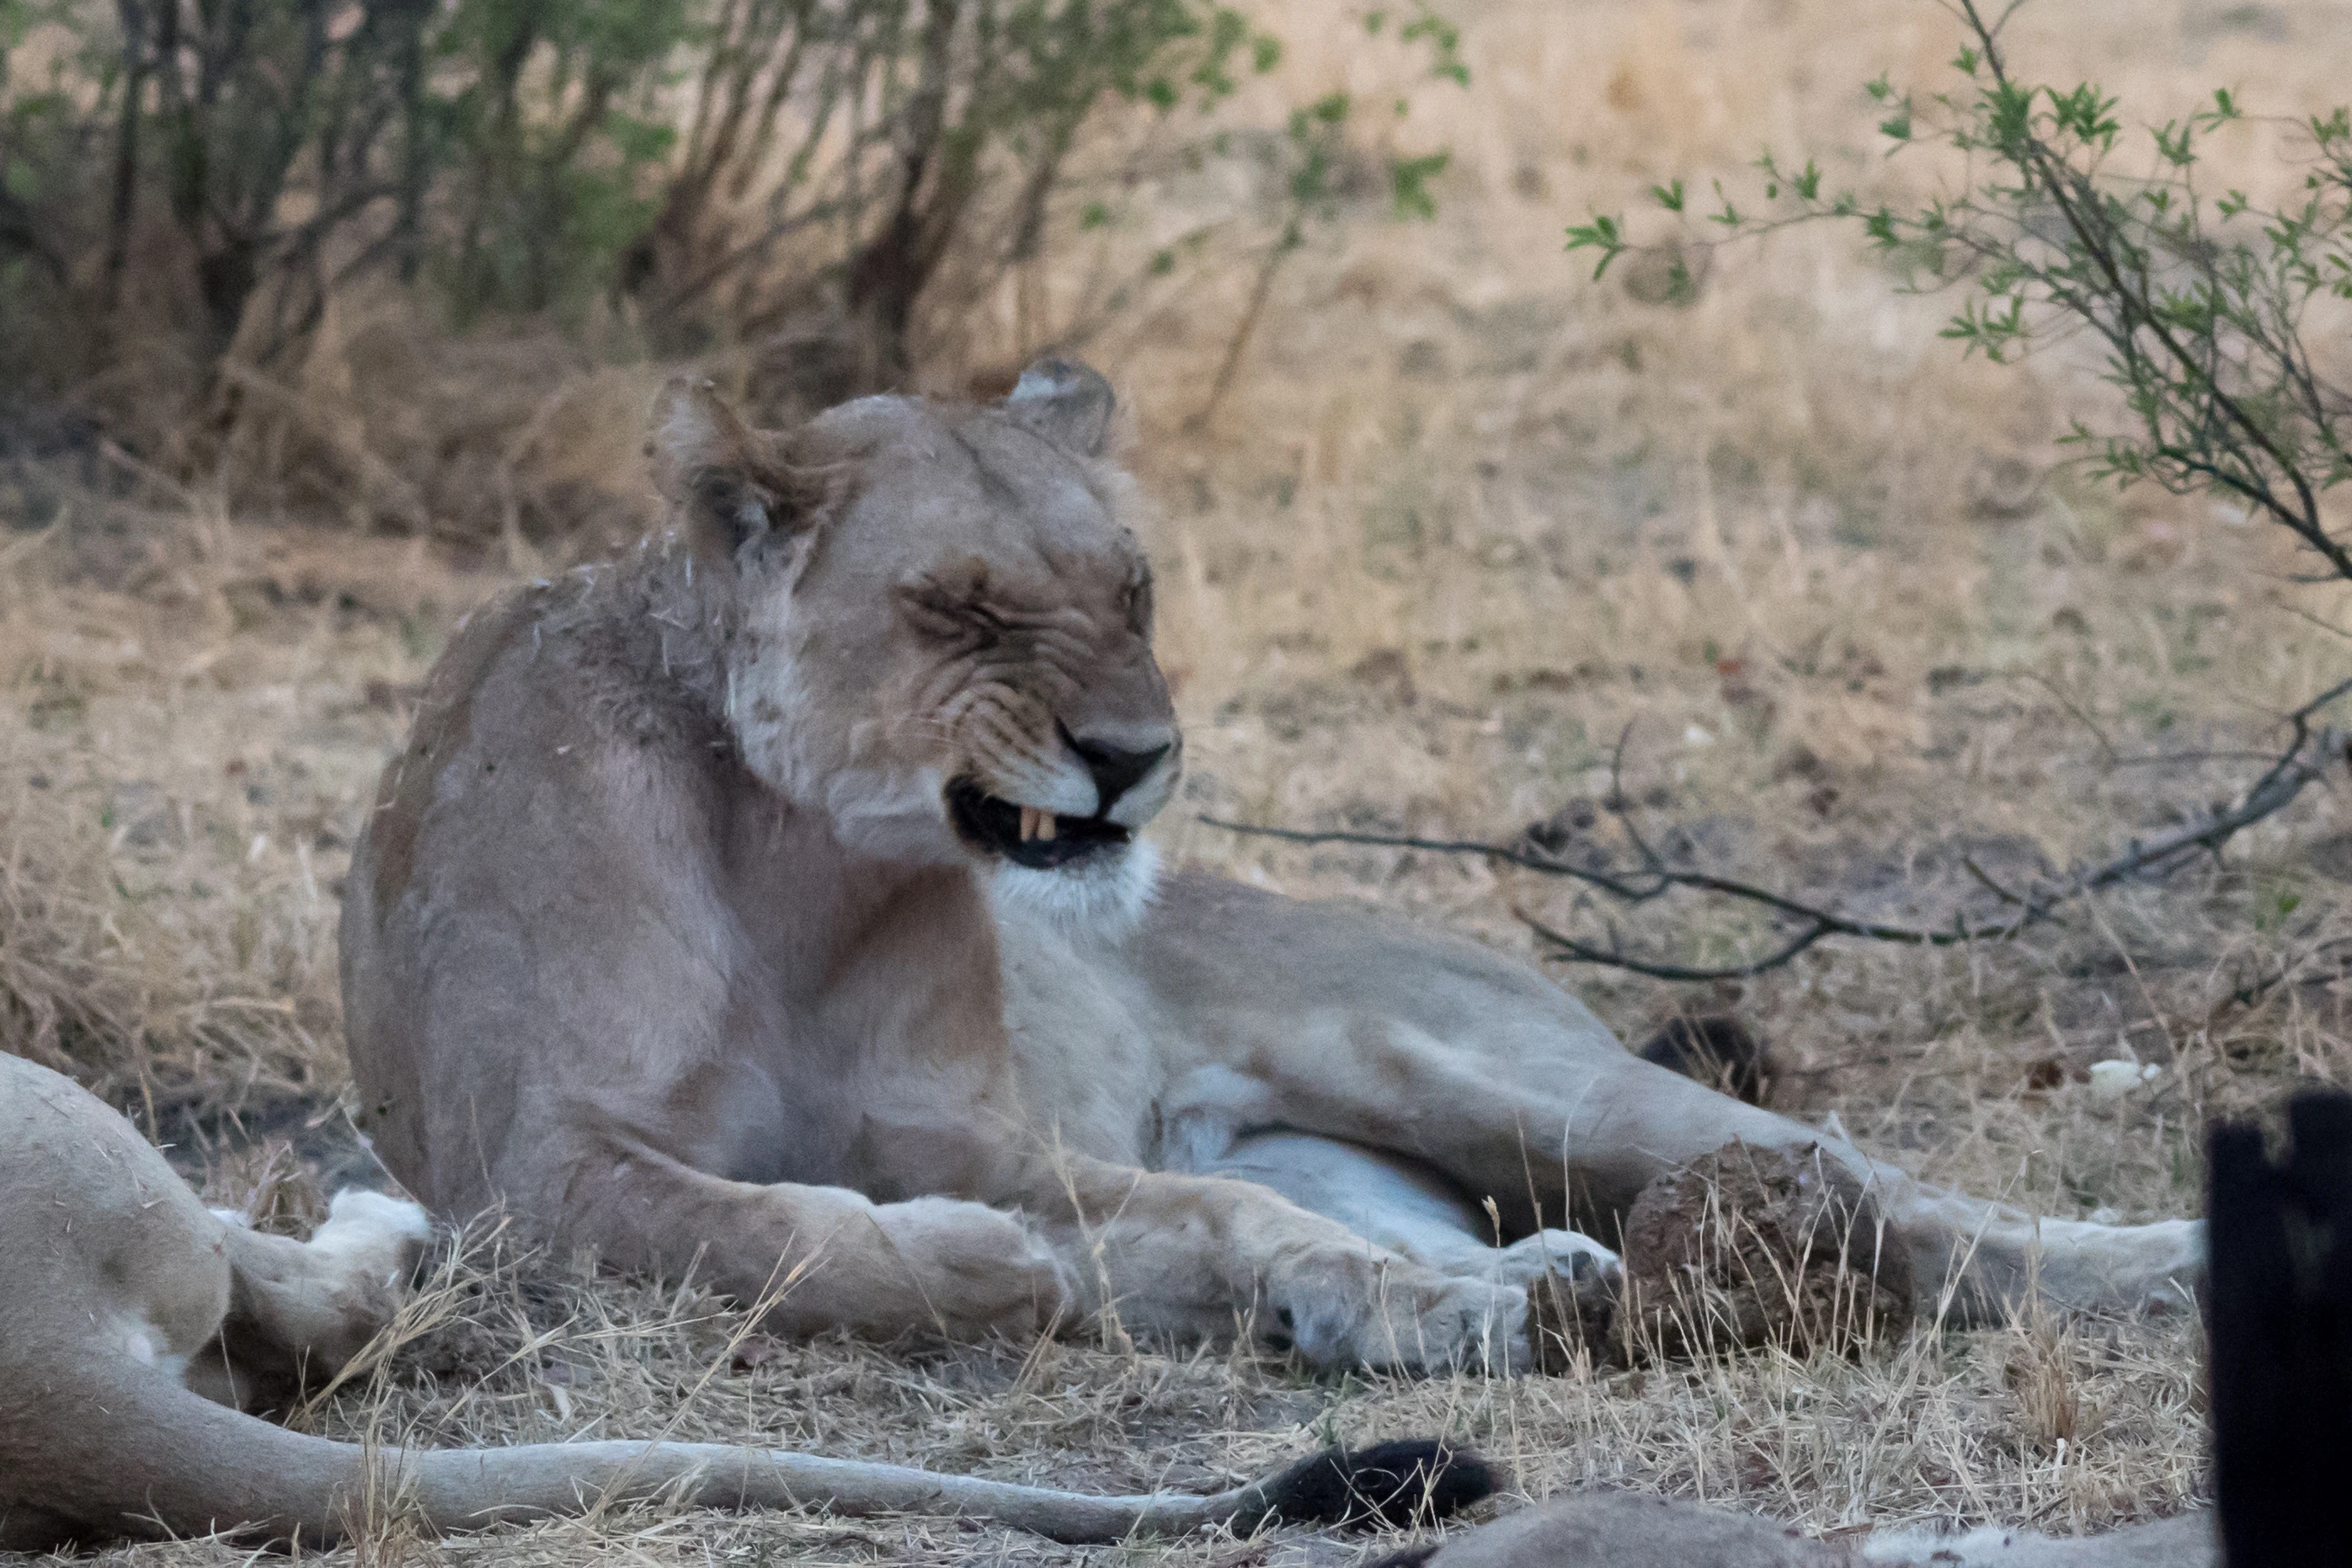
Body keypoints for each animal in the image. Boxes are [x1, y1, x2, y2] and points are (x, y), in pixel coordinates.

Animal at [339, 360, 2202, 1372]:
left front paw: (1015, 1258)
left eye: (1133, 587)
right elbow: (768, 1232)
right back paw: (1509, 1292)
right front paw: (987, 1267)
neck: (804, 862)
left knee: (1892, 1188)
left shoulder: (986, 1138)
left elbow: (1176, 1214)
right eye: (961, 609)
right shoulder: (532, 1175)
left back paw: (2149, 1264)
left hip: (1499, 1075)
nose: (1132, 756)